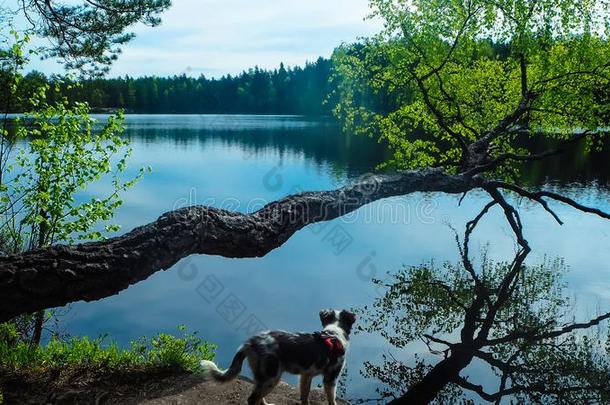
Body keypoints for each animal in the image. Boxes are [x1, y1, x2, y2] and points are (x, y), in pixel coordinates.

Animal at [200, 308, 354, 402]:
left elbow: (304, 396)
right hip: (272, 377)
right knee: (252, 399)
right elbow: (331, 400)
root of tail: (248, 343)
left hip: (262, 376)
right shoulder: (331, 378)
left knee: (257, 397)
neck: (333, 333)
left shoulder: (306, 375)